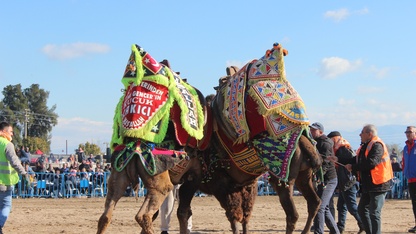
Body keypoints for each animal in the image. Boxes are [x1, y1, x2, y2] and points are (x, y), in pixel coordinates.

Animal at [177, 43, 324, 233]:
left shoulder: (219, 183)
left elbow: (233, 217)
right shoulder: (244, 185)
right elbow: (243, 217)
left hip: (283, 180)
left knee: (293, 214)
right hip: (304, 177)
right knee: (314, 203)